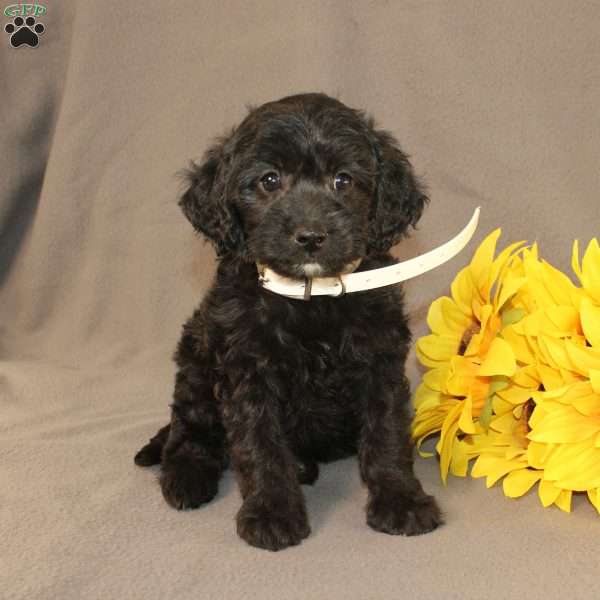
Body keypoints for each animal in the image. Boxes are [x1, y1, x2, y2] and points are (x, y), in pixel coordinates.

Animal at [138, 92, 442, 548]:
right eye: (269, 180)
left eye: (343, 180)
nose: (311, 236)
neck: (310, 298)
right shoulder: (248, 371)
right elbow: (259, 444)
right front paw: (271, 511)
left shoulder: (379, 359)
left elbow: (387, 432)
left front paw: (401, 499)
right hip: (195, 360)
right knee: (189, 429)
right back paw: (187, 476)